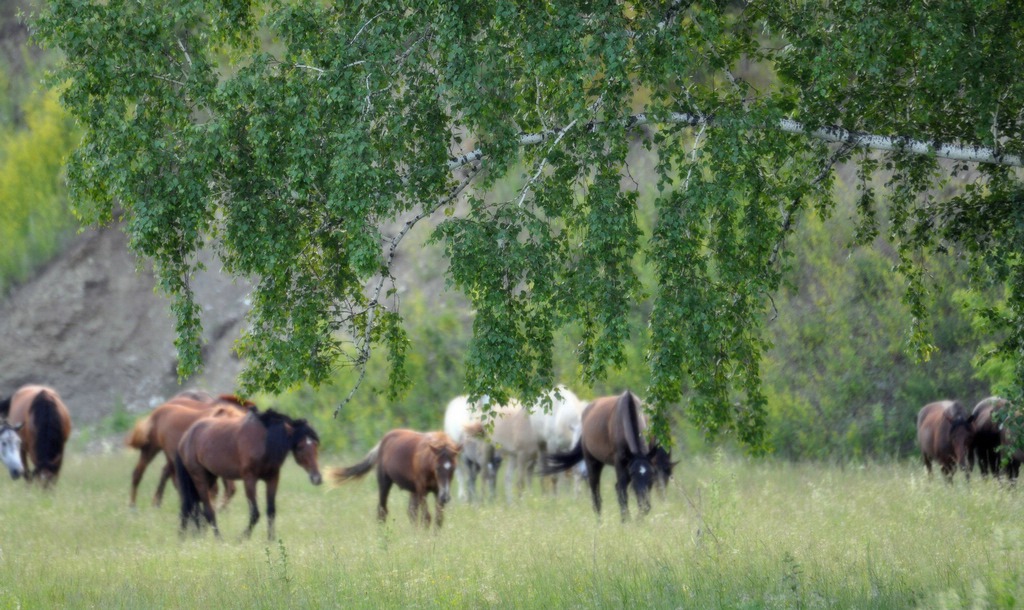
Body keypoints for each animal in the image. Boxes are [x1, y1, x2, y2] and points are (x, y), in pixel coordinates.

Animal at [176, 407, 319, 540]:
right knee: (207, 511)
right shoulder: (250, 479)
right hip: (200, 479)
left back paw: (187, 538)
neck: (264, 440)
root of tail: (185, 437)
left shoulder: (272, 478)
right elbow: (255, 513)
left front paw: (271, 540)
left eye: (316, 445)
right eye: (300, 447)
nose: (317, 478)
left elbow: (271, 511)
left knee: (191, 508)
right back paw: (219, 540)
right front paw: (241, 538)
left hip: (210, 477)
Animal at [331, 429, 460, 528]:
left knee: (411, 512)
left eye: (453, 468)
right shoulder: (422, 490)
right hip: (384, 483)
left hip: (414, 491)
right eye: (437, 467)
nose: (445, 497)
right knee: (382, 511)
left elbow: (438, 519)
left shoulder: (437, 491)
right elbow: (426, 517)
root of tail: (382, 442)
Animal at [544, 390, 663, 519]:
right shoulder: (620, 463)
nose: (645, 503)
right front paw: (627, 521)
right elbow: (622, 493)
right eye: (633, 475)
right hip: (592, 462)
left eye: (652, 474)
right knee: (596, 498)